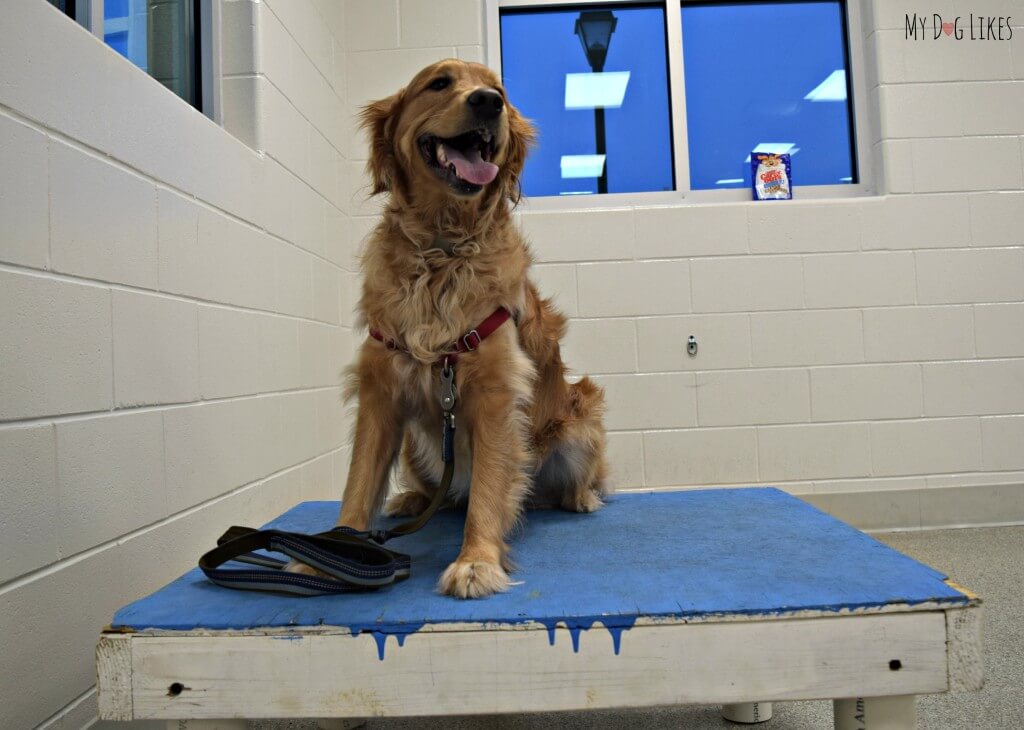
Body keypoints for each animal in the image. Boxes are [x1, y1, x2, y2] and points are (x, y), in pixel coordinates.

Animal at [307, 59, 606, 597]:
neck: (442, 246)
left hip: (582, 415)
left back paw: (582, 497)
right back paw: (410, 499)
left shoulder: (495, 392)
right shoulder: (380, 391)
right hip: (412, 444)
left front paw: (476, 562)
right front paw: (329, 554)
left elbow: (489, 489)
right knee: (439, 493)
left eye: (500, 91)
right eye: (439, 83)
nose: (487, 102)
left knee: (553, 484)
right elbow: (358, 483)